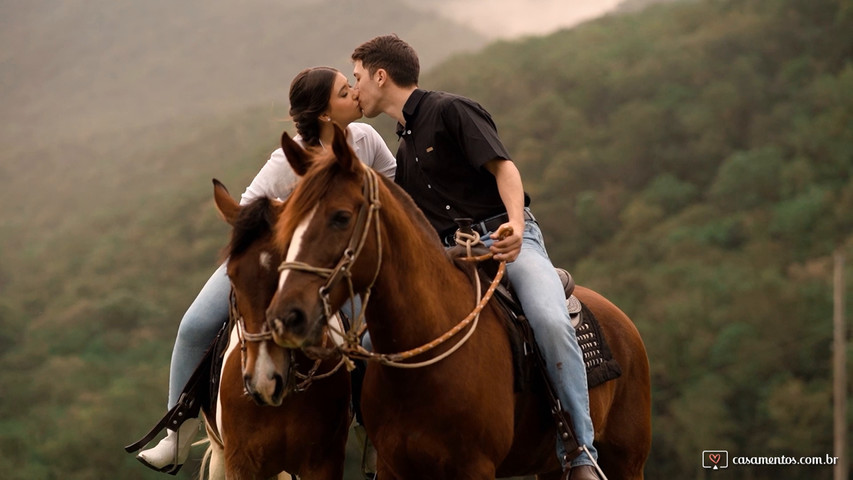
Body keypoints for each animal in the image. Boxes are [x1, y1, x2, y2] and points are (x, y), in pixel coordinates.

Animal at [262, 127, 648, 480]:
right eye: (287, 221)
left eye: (340, 217)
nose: (286, 316)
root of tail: (622, 320)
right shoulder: (393, 466)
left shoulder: (474, 467)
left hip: (627, 460)